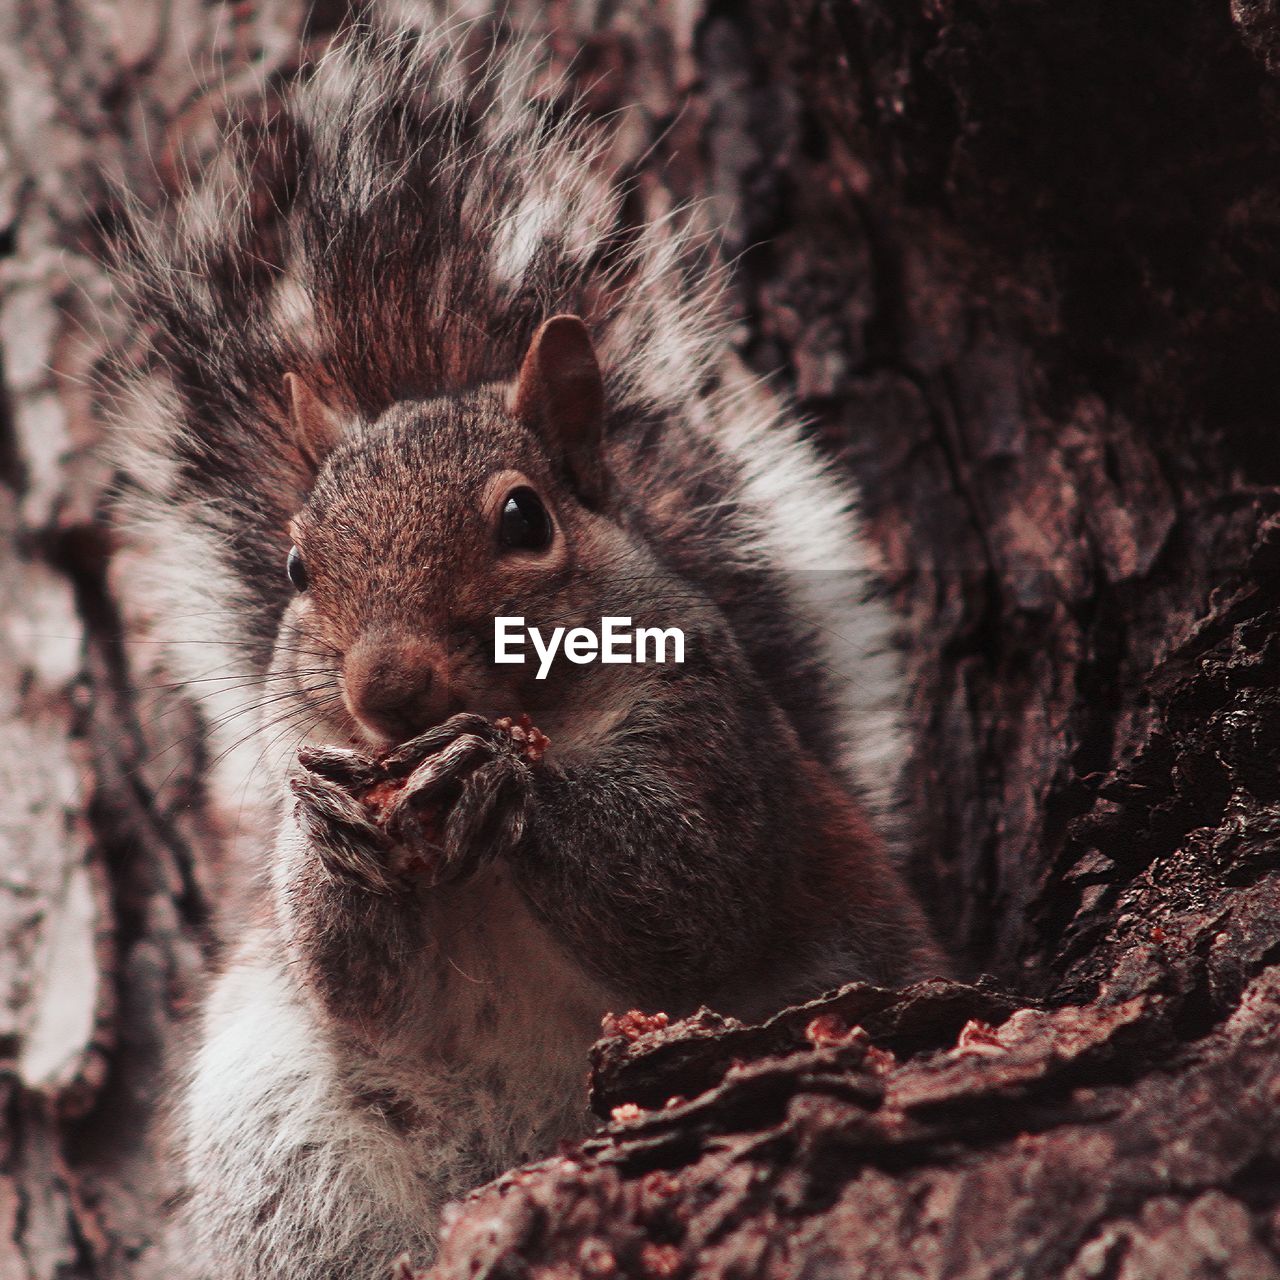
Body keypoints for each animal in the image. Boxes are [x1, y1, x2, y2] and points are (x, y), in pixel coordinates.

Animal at [104, 12, 947, 1280]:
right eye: (297, 568)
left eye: (522, 519)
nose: (386, 689)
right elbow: (352, 980)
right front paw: (327, 826)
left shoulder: (716, 735)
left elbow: (689, 896)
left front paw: (498, 777)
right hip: (283, 1144)